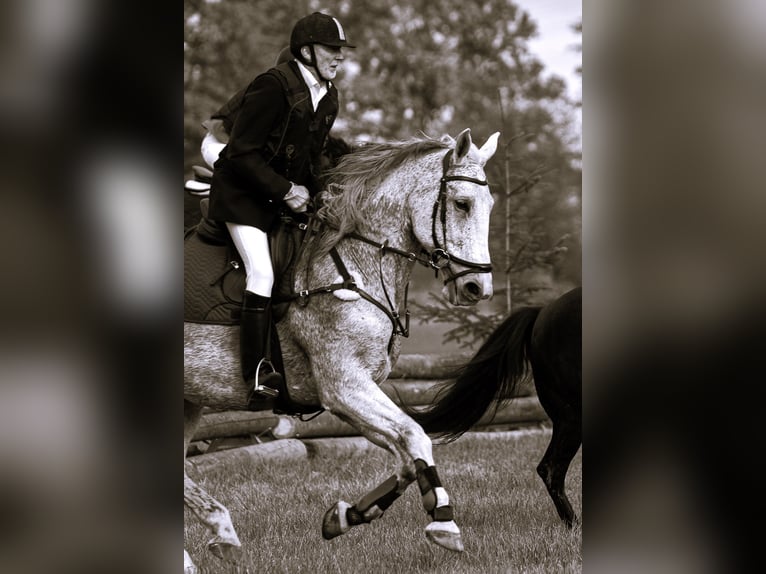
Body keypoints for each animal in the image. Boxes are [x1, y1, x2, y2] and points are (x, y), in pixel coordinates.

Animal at [183, 128, 500, 572]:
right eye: (462, 203)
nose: (477, 288)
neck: (355, 261)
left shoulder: (357, 390)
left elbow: (405, 458)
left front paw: (345, 516)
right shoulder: (343, 386)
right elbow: (416, 437)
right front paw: (444, 522)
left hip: (189, 399)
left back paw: (219, 536)